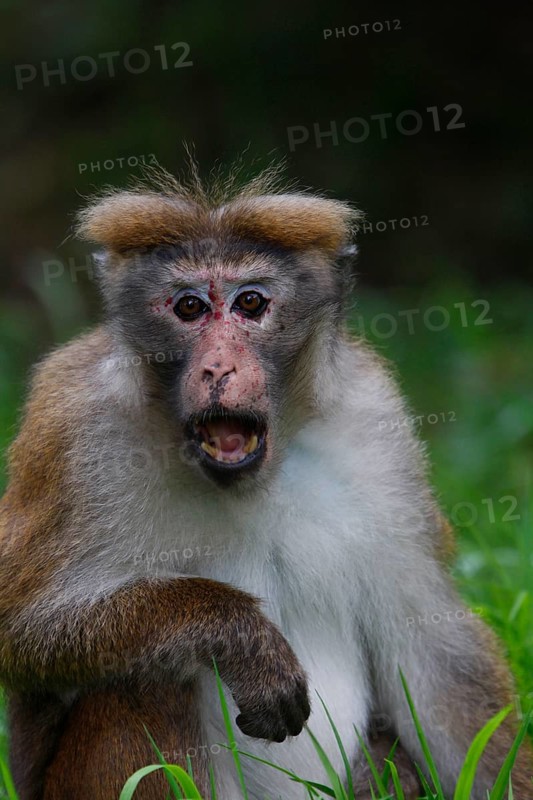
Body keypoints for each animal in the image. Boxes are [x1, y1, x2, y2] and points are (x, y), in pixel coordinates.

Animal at [0, 163, 531, 800]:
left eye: (250, 302)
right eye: (189, 307)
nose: (218, 367)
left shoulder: (377, 425)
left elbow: (431, 645)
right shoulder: (75, 431)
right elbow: (20, 627)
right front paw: (237, 633)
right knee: (144, 685)